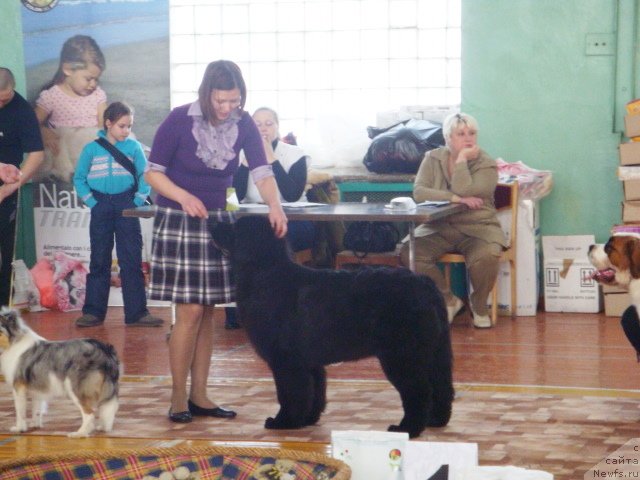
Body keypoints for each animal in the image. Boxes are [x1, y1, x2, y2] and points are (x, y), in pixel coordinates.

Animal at [214, 217, 456, 438]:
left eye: (234, 226)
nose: (213, 221)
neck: (264, 272)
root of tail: (426, 285)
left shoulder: (286, 361)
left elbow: (289, 394)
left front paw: (284, 422)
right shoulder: (309, 362)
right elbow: (314, 392)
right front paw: (307, 419)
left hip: (402, 357)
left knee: (419, 392)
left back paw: (407, 429)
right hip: (436, 353)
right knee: (442, 387)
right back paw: (435, 420)